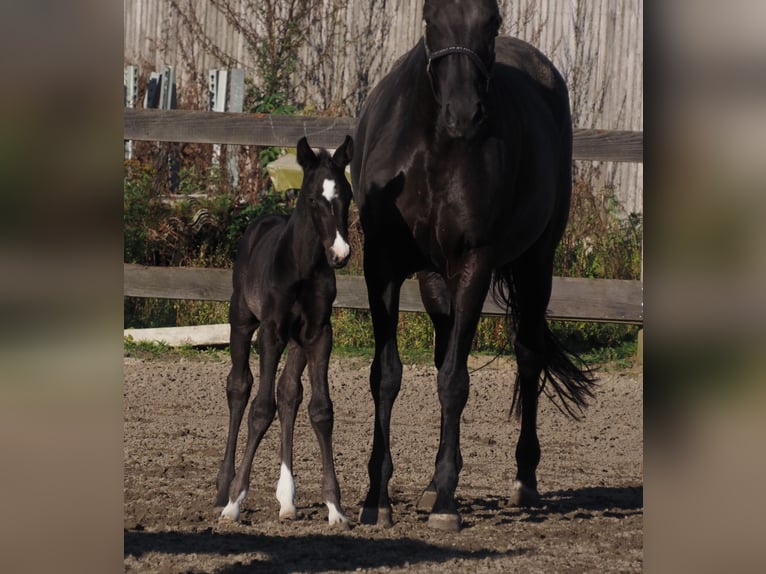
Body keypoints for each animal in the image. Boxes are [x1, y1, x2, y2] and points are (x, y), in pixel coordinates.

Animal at [218, 136, 356, 532]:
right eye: (311, 197)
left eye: (347, 195)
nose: (340, 253)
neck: (302, 267)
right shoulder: (271, 332)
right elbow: (260, 408)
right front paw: (234, 503)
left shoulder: (319, 334)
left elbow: (320, 410)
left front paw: (335, 508)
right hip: (241, 320)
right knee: (239, 388)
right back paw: (223, 487)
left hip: (297, 342)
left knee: (289, 393)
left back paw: (287, 500)